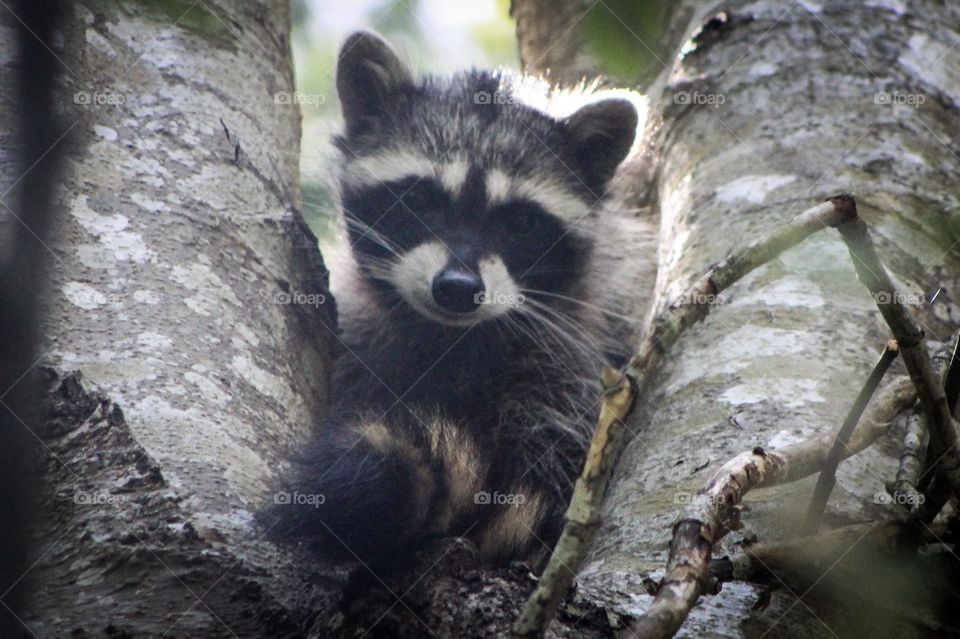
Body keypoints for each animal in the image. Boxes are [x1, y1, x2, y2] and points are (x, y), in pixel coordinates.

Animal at [262, 32, 652, 568]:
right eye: (419, 200)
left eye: (521, 222)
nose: (458, 288)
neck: (451, 337)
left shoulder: (575, 353)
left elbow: (550, 458)